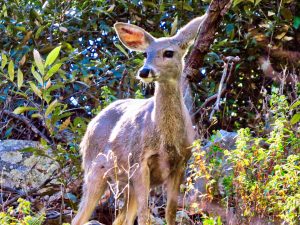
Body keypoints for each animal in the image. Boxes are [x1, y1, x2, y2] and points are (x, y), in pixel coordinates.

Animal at [72, 14, 206, 225]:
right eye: (146, 54)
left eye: (169, 52)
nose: (144, 71)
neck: (167, 139)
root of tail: (89, 127)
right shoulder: (139, 162)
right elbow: (145, 214)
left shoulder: (181, 163)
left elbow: (170, 211)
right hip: (96, 170)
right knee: (79, 218)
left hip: (126, 185)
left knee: (120, 219)